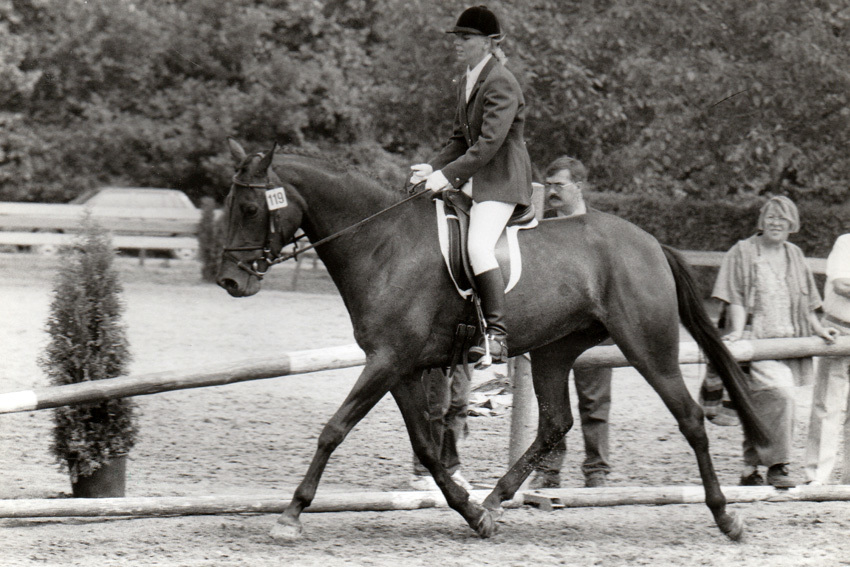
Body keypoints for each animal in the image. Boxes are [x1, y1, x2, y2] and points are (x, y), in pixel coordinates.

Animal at [217, 139, 768, 542]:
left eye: (250, 208)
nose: (229, 281)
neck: (382, 243)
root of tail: (651, 242)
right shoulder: (399, 367)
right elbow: (428, 446)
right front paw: (469, 512)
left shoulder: (387, 361)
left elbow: (334, 429)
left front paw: (291, 514)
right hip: (554, 350)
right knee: (555, 424)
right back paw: (495, 502)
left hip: (648, 347)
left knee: (690, 418)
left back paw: (726, 517)